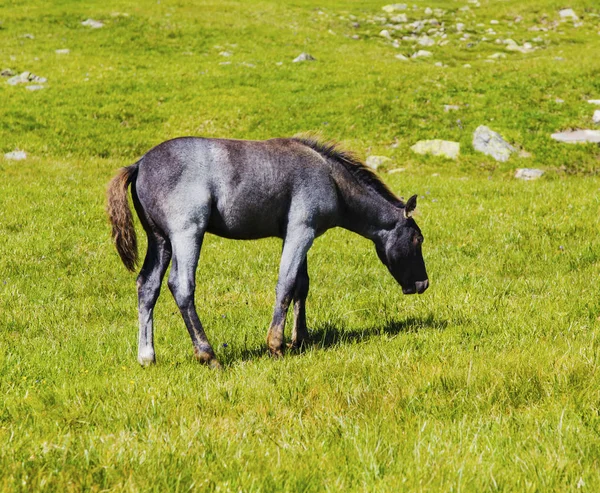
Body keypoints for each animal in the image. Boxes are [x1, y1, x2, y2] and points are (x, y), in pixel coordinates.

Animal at [106, 136, 426, 368]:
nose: (422, 284)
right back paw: (208, 354)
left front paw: (300, 339)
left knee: (147, 286)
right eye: (418, 239)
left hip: (159, 240)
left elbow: (301, 285)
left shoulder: (297, 235)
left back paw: (147, 357)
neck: (331, 178)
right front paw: (276, 345)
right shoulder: (301, 231)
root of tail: (139, 164)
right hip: (186, 234)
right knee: (181, 286)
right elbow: (286, 284)